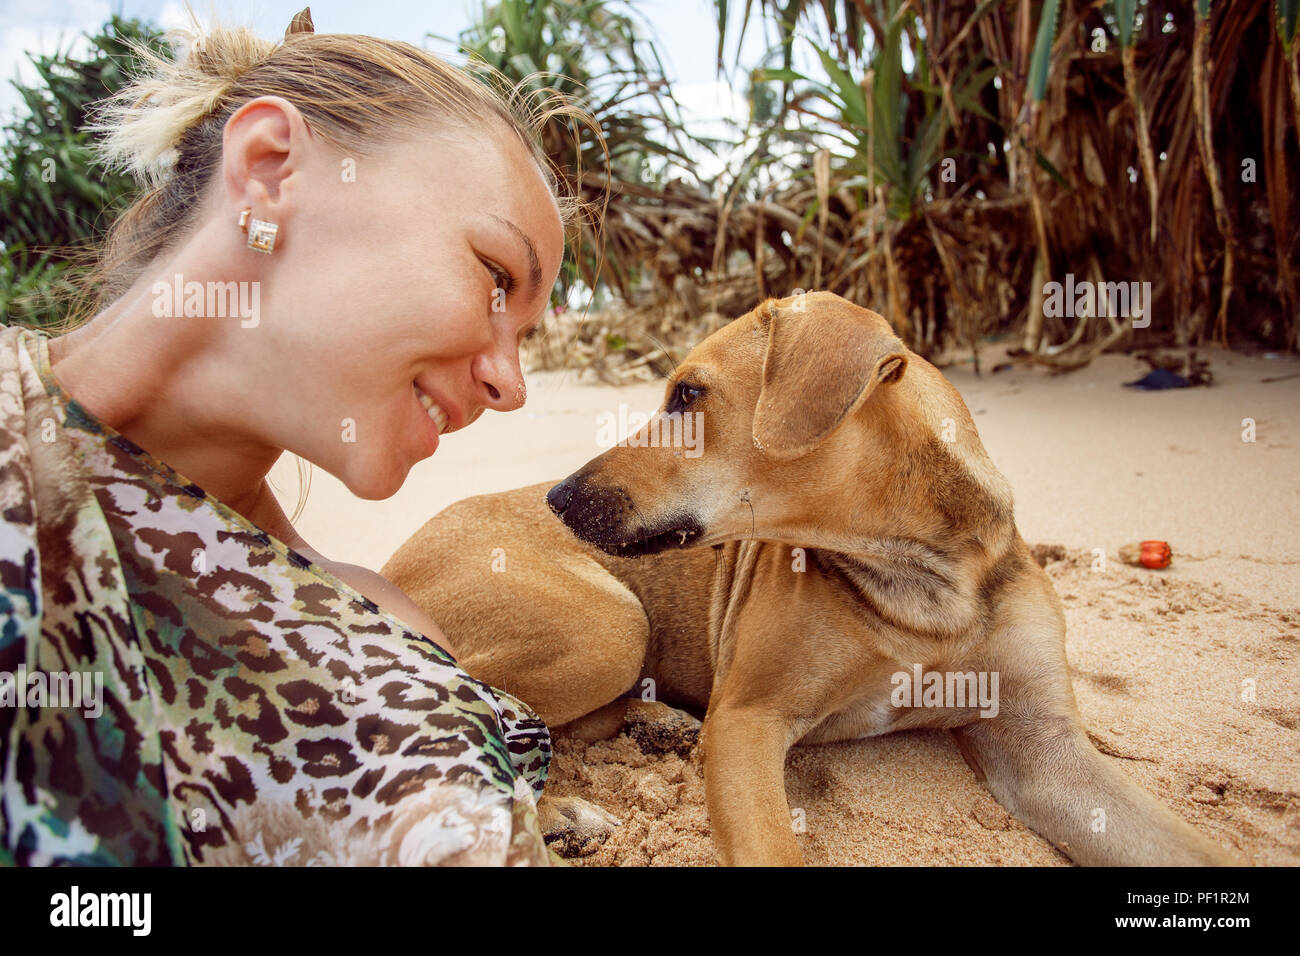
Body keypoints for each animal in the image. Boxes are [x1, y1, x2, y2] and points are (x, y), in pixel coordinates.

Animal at [382, 291, 1237, 868]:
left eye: (688, 395)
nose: (558, 498)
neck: (916, 580)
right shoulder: (749, 723)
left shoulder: (1046, 753)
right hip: (606, 628)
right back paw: (562, 814)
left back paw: (653, 727)